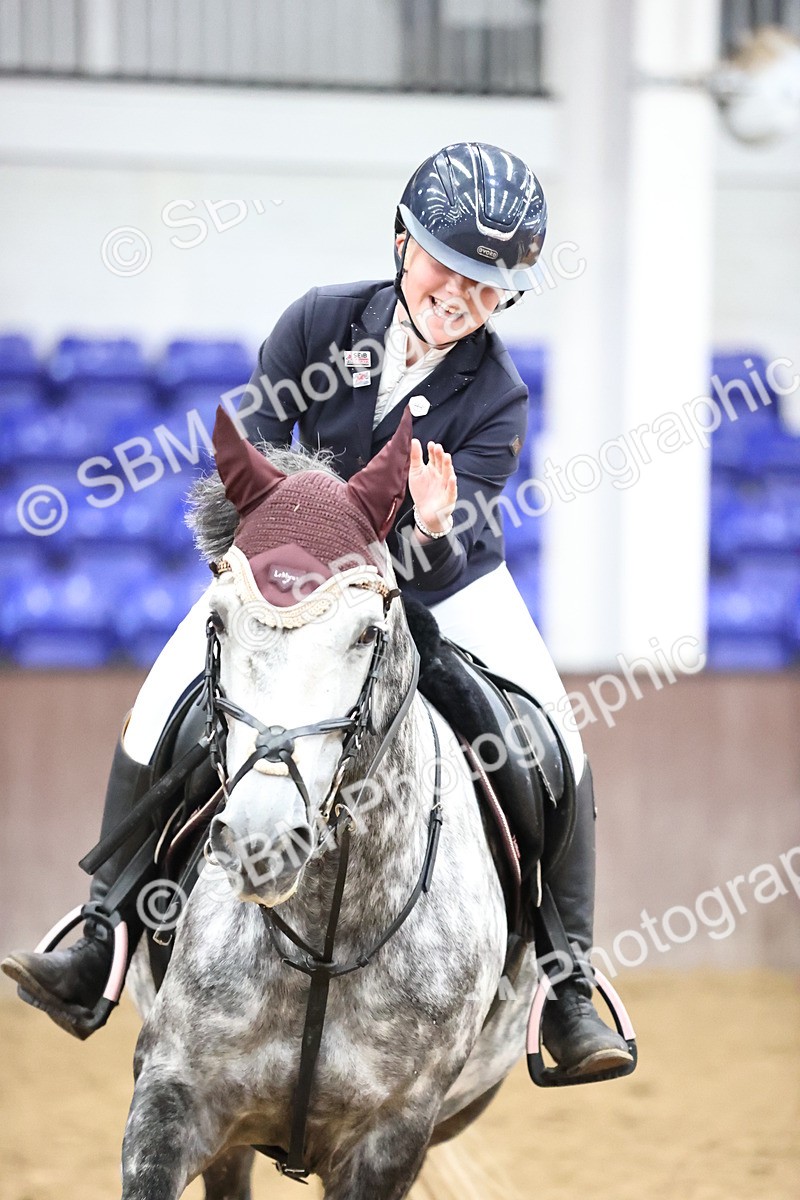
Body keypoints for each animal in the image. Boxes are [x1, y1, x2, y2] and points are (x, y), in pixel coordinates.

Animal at [120, 405, 540, 1200]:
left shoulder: (391, 1140)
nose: (260, 843)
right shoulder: (171, 1096)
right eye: (216, 622)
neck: (328, 932)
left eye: (367, 633)